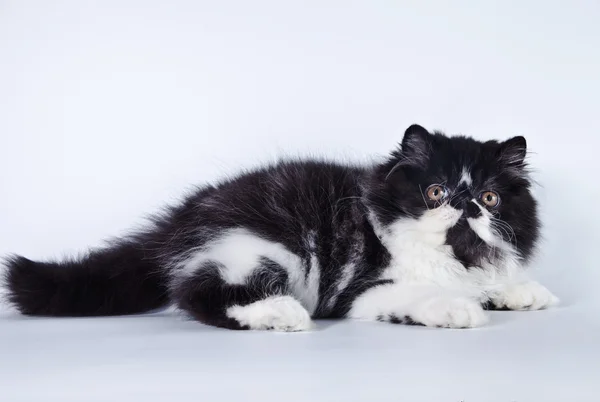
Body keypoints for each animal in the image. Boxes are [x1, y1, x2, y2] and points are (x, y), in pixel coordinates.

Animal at [2, 125, 560, 330]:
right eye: (437, 193)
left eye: (488, 197)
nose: (466, 205)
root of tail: (180, 219)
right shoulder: (362, 290)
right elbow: (425, 295)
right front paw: (457, 309)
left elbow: (491, 281)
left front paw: (523, 292)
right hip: (264, 248)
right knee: (199, 293)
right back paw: (279, 313)